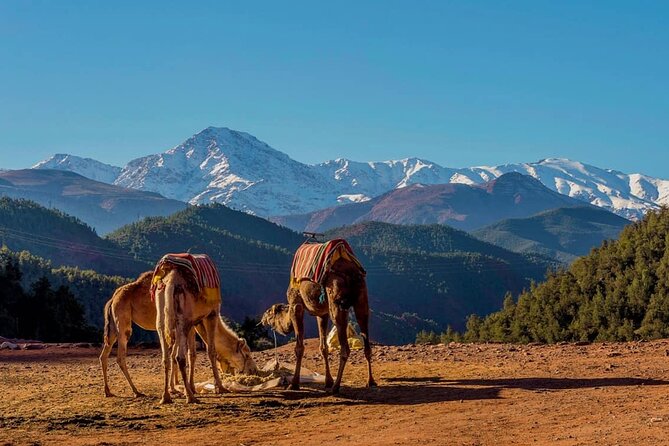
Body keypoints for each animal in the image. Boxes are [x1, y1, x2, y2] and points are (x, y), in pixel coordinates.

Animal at [99, 271, 257, 398]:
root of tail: (112, 300)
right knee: (120, 356)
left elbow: (181, 355)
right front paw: (183, 388)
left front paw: (179, 386)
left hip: (113, 327)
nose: (254, 370)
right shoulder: (192, 324)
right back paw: (136, 391)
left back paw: (108, 391)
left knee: (104, 355)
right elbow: (187, 355)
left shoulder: (189, 325)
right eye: (247, 354)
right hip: (123, 322)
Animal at [262, 254, 376, 394]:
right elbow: (323, 347)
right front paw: (328, 381)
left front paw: (294, 384)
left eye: (269, 313)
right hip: (361, 297)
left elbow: (299, 347)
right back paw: (370, 382)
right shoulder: (322, 313)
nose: (263, 319)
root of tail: (351, 272)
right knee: (366, 338)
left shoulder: (296, 305)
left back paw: (336, 387)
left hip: (336, 299)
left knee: (345, 347)